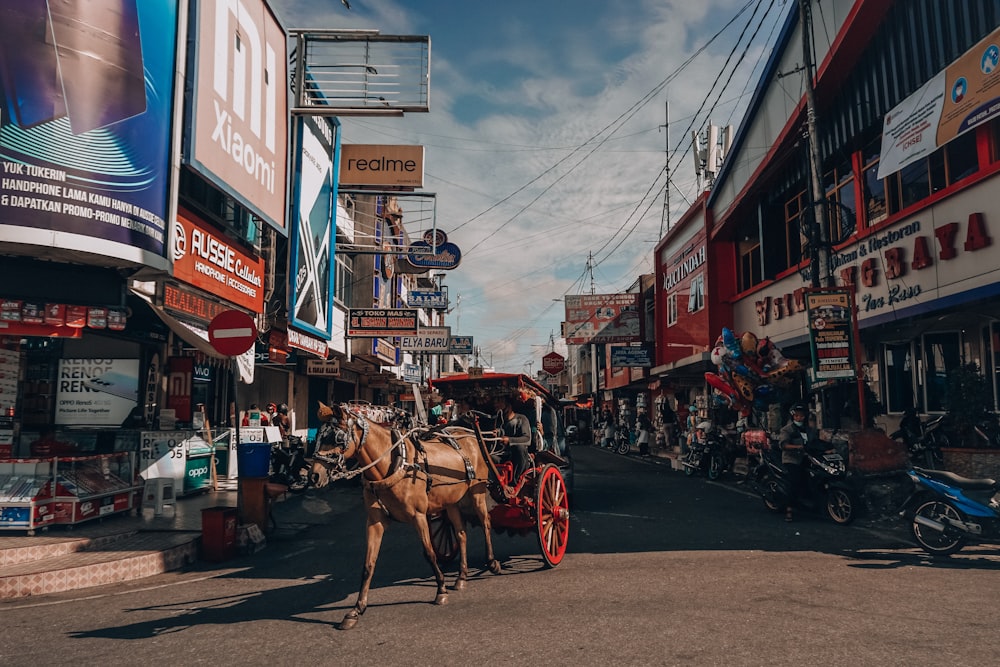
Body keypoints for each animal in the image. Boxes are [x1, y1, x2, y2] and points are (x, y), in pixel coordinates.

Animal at [310, 402, 504, 632]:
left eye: (337, 438)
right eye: (319, 436)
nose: (313, 475)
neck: (391, 465)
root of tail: (471, 436)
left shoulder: (418, 516)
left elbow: (429, 553)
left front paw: (441, 589)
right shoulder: (374, 521)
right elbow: (368, 564)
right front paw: (356, 610)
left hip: (477, 492)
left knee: (486, 523)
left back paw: (492, 562)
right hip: (451, 502)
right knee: (461, 533)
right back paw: (461, 577)